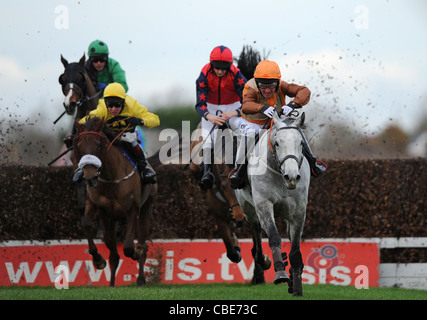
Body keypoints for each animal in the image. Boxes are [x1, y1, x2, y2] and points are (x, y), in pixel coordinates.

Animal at [73, 116, 157, 286]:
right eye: (78, 145)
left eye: (98, 144)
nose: (89, 177)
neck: (111, 177)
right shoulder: (97, 206)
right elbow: (86, 222)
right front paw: (98, 260)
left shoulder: (133, 209)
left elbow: (129, 248)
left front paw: (136, 253)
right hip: (110, 220)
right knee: (113, 253)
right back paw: (111, 284)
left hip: (146, 208)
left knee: (141, 242)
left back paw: (141, 278)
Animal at [234, 111, 310, 296]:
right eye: (277, 143)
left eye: (301, 143)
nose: (292, 177)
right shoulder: (264, 205)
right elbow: (274, 237)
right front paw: (281, 272)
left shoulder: (299, 211)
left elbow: (295, 247)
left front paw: (296, 286)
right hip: (249, 209)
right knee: (257, 235)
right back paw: (263, 260)